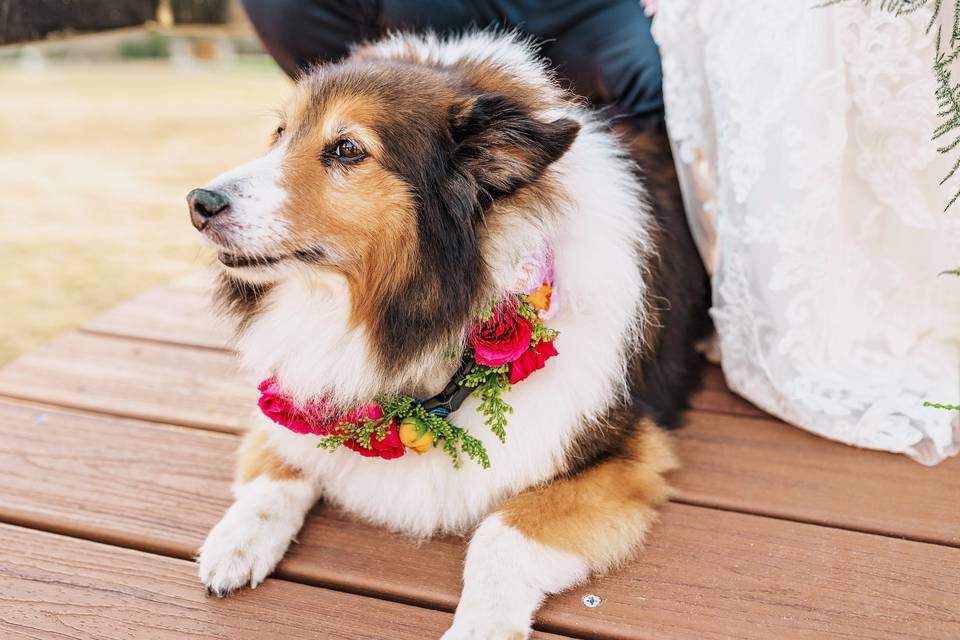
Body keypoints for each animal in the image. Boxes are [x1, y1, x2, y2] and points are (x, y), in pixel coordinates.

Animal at [189, 31, 712, 640]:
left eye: (347, 150)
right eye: (279, 132)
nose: (198, 203)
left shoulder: (624, 454)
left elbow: (500, 534)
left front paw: (481, 625)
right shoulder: (295, 392)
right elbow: (278, 468)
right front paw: (237, 541)